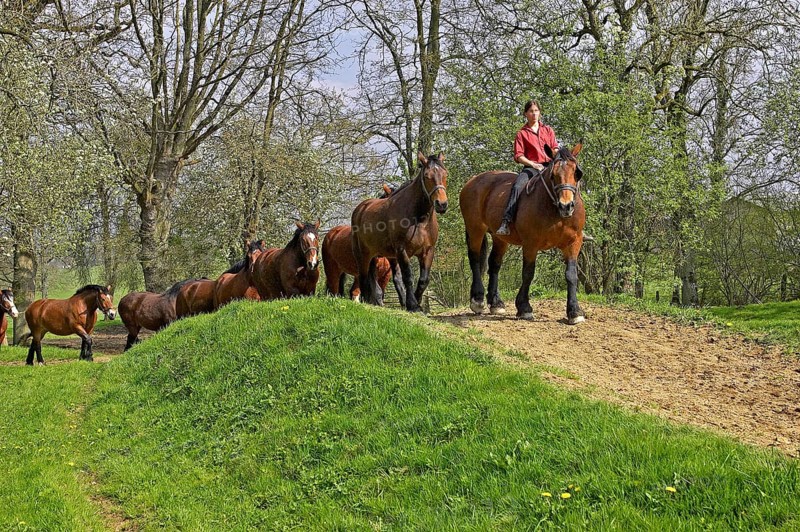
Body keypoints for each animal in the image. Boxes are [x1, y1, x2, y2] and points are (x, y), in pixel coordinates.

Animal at [351, 151, 448, 311]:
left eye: (445, 174)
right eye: (427, 176)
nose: (442, 204)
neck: (419, 219)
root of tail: (360, 208)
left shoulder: (428, 251)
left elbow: (423, 280)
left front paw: (416, 302)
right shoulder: (402, 251)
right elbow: (407, 277)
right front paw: (412, 304)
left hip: (375, 254)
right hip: (363, 254)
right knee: (364, 276)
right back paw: (368, 300)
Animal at [460, 143, 586, 323]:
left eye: (577, 173)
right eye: (553, 175)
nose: (566, 205)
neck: (554, 210)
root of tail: (473, 180)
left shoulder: (574, 242)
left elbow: (571, 275)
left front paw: (574, 311)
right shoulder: (531, 244)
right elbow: (528, 273)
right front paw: (524, 307)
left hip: (500, 237)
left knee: (494, 264)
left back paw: (496, 303)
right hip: (475, 228)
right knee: (475, 259)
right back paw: (477, 299)